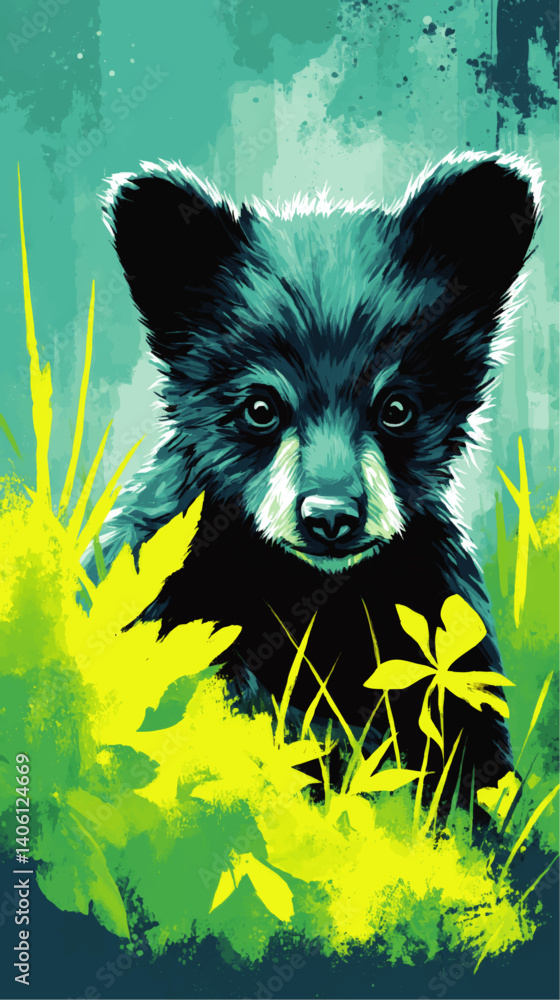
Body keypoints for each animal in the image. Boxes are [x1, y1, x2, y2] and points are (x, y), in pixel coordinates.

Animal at [93, 152, 539, 801]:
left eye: (396, 408)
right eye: (260, 407)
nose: (331, 517)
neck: (310, 592)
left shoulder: (434, 608)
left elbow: (471, 756)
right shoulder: (167, 590)